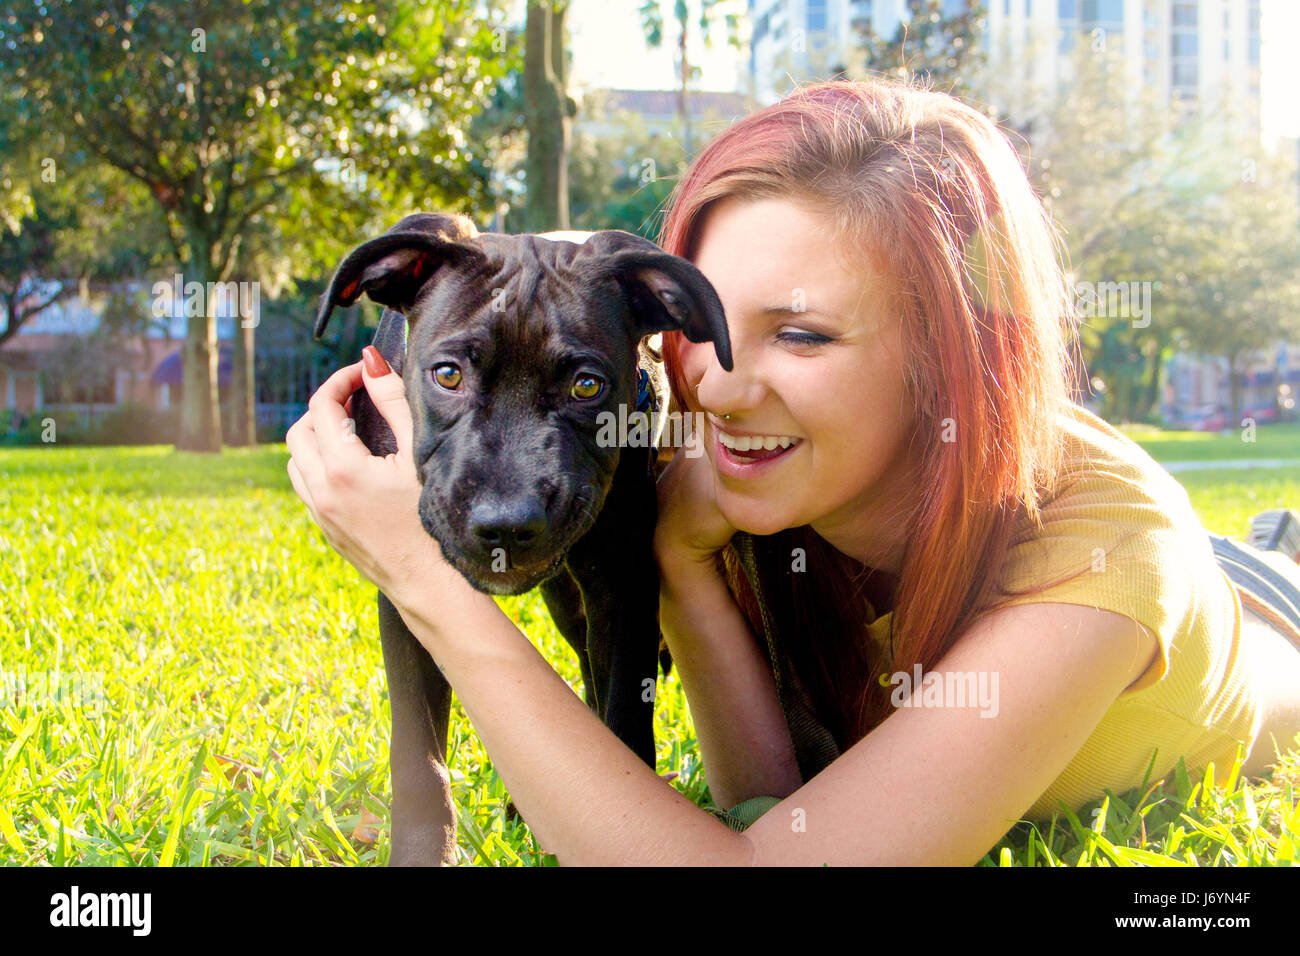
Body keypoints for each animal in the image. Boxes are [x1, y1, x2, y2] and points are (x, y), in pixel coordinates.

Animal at [312, 214, 733, 868]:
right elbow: (417, 754)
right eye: (448, 374)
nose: (506, 523)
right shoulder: (403, 591)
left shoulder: (624, 583)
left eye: (587, 386)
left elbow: (623, 722)